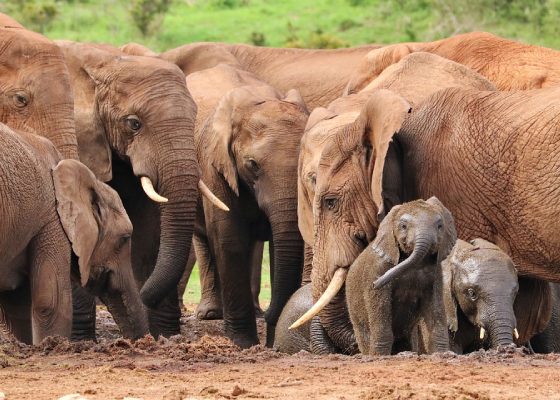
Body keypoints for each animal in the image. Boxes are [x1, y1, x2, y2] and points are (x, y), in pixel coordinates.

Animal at [55, 41, 223, 338]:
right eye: (134, 123)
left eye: (194, 119)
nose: (142, 295)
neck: (105, 62)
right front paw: (80, 341)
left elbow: (148, 225)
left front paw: (163, 336)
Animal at [185, 64, 310, 346]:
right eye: (252, 164)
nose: (271, 313)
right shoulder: (214, 165)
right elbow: (229, 239)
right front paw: (243, 344)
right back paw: (211, 314)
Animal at [346, 197, 460, 356]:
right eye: (403, 226)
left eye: (440, 226)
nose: (375, 283)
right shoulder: (377, 268)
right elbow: (380, 307)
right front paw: (380, 356)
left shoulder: (436, 275)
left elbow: (435, 308)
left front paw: (442, 354)